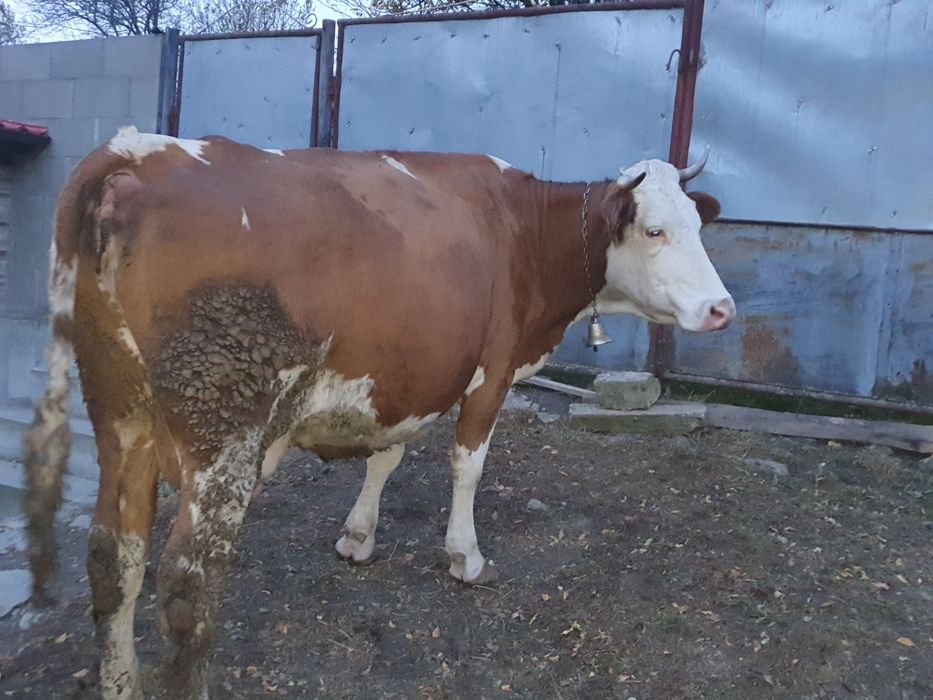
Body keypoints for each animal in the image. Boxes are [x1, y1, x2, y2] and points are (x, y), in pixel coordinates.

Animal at [24, 126, 734, 699]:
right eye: (654, 229)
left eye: (699, 228)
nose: (723, 309)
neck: (524, 231)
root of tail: (138, 151)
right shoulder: (491, 371)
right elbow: (467, 466)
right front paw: (465, 557)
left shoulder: (407, 371)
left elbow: (386, 454)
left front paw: (358, 537)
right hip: (221, 428)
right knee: (187, 582)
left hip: (121, 415)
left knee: (113, 558)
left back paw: (120, 681)